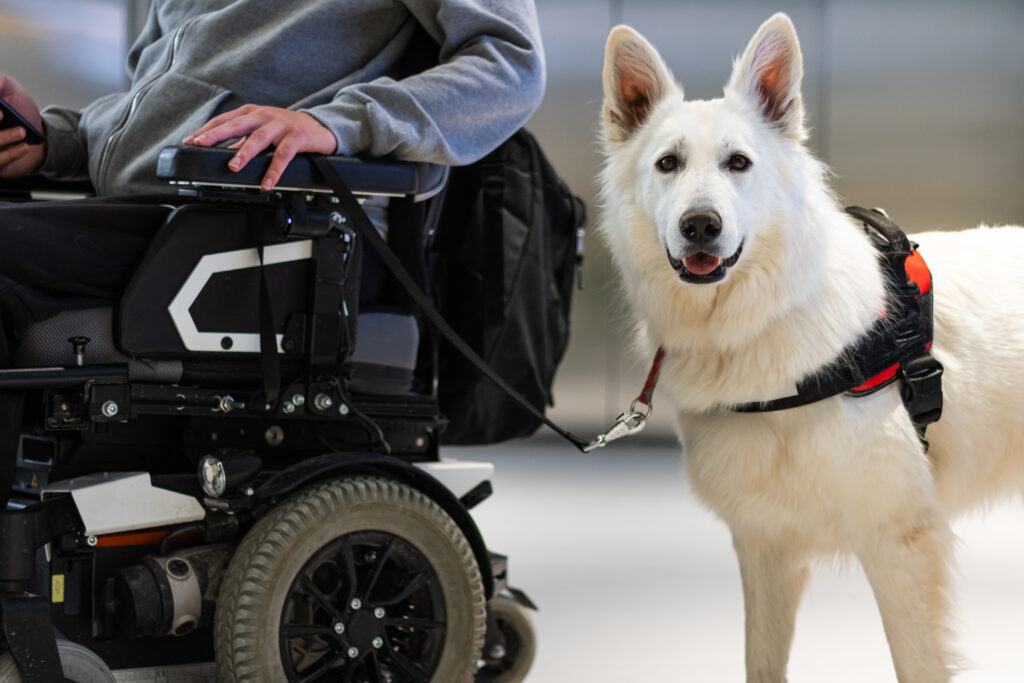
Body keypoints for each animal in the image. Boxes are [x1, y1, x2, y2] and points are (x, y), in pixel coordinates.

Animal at [598, 12, 1019, 683]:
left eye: (738, 162)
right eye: (667, 163)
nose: (700, 225)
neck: (764, 324)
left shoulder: (899, 543)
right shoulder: (766, 547)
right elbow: (762, 663)